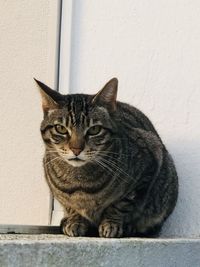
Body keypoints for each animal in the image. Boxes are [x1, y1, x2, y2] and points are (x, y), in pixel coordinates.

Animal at [35, 78, 177, 239]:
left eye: (94, 130)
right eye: (61, 129)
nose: (76, 149)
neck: (80, 183)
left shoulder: (148, 165)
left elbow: (120, 205)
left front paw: (111, 223)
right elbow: (70, 206)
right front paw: (75, 220)